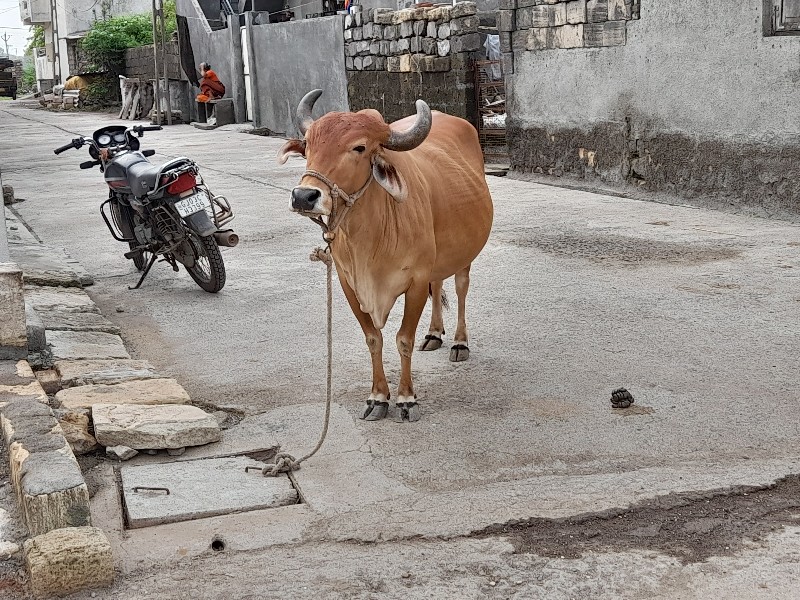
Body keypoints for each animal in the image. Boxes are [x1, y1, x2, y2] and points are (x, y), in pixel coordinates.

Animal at [280, 91, 494, 424]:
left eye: (359, 147)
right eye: (309, 145)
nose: (304, 196)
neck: (371, 242)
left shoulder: (415, 282)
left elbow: (403, 340)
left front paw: (407, 399)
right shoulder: (349, 284)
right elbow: (373, 339)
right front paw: (378, 397)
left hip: (465, 254)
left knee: (460, 288)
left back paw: (459, 341)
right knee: (438, 286)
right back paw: (434, 334)